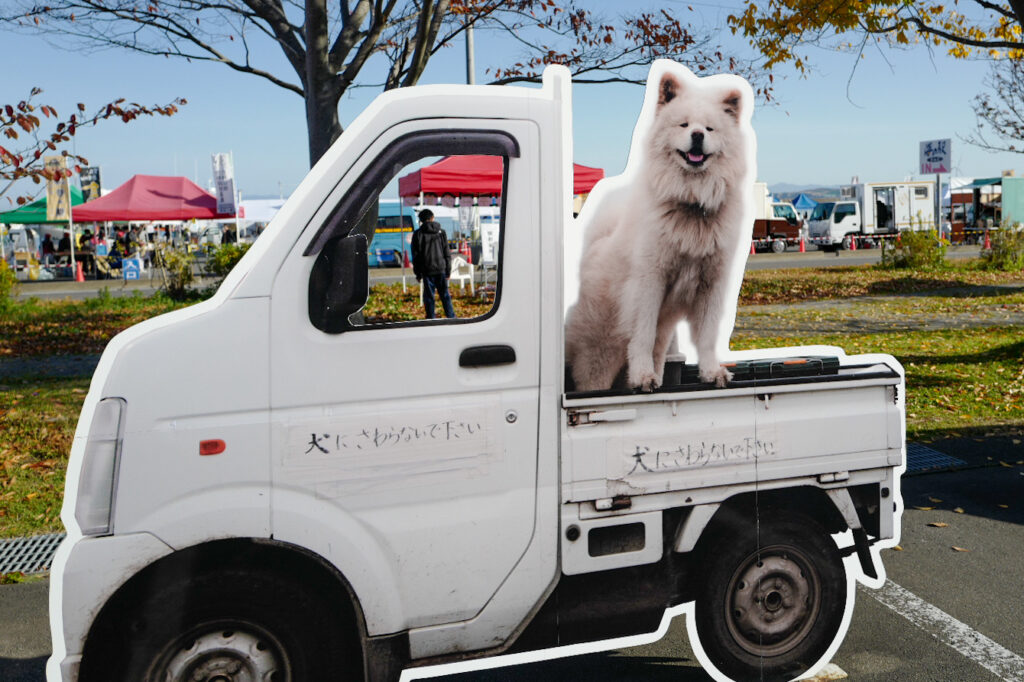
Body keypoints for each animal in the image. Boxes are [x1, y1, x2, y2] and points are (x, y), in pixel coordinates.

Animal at [565, 63, 757, 393]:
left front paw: (711, 372)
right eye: (683, 125)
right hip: (599, 353)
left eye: (709, 129)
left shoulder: (711, 284)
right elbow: (641, 335)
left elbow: (707, 337)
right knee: (593, 377)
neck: (692, 202)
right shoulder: (649, 281)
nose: (696, 135)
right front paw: (642, 377)